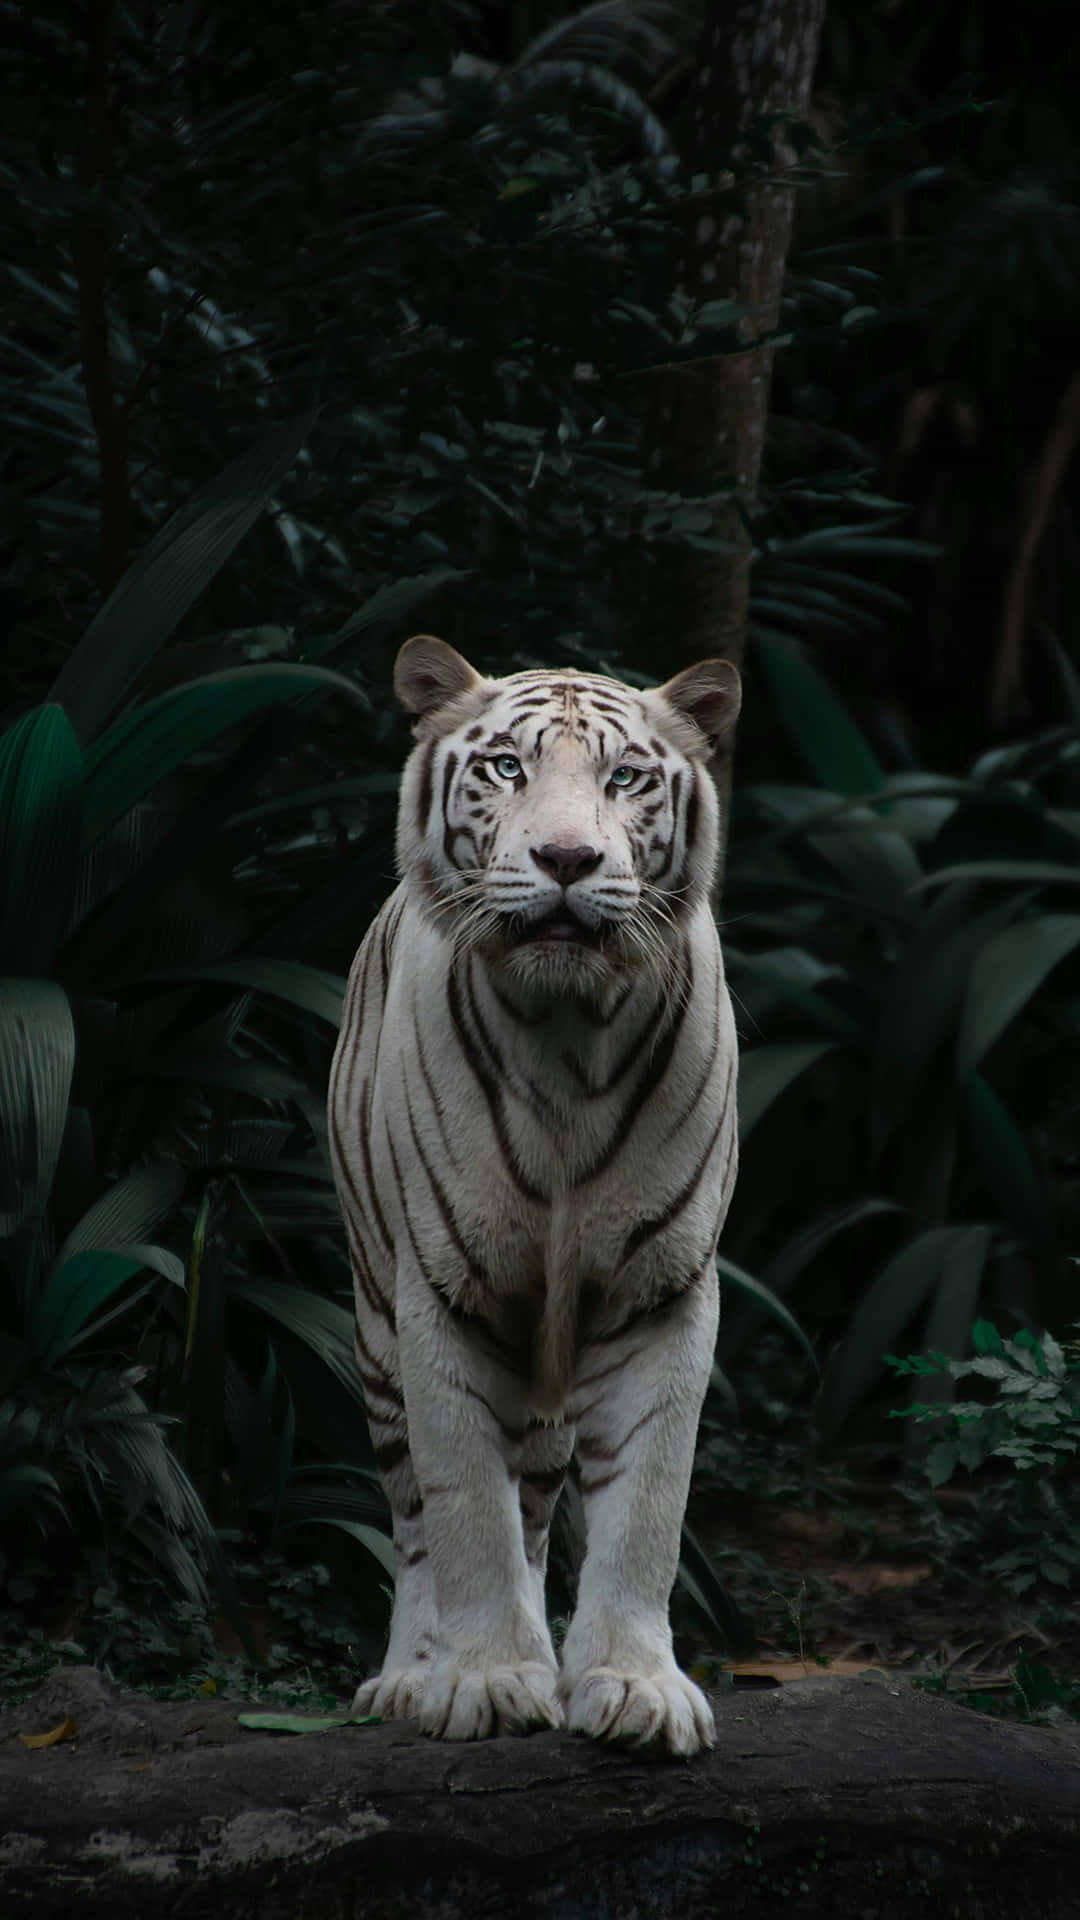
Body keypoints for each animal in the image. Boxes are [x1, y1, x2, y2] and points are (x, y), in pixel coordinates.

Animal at [322, 633, 734, 1758]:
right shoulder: (441, 1294)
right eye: (507, 768)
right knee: (416, 1515)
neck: (567, 1035)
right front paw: (488, 1681)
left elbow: (648, 1505)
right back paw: (410, 1676)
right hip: (374, 1327)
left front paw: (633, 1688)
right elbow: (465, 1505)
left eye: (625, 777)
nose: (566, 860)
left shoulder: (661, 1291)